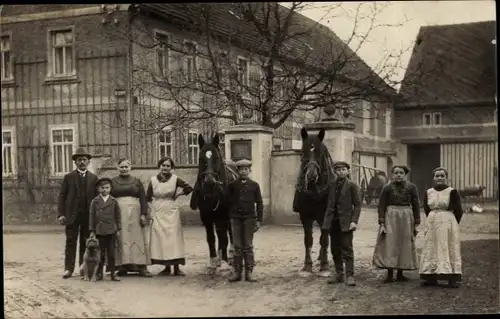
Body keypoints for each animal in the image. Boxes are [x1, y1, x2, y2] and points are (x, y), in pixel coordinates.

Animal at [292, 127, 336, 278]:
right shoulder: (305, 216)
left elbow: (324, 239)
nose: (311, 176)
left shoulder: (326, 216)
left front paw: (324, 266)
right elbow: (308, 240)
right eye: (302, 152)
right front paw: (307, 266)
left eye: (320, 153)